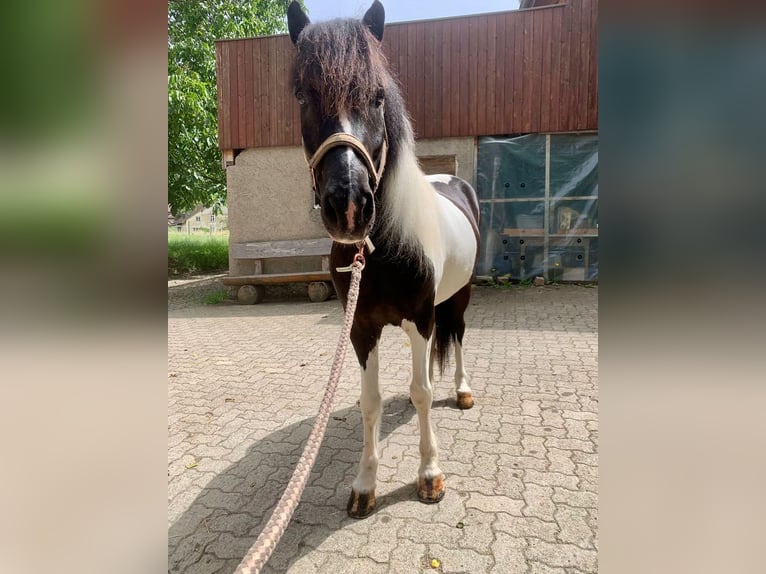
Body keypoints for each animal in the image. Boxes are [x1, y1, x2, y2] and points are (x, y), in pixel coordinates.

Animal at [287, 0, 480, 518]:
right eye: (302, 96)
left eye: (376, 97)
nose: (349, 206)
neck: (381, 250)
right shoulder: (360, 327)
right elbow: (370, 401)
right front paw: (365, 484)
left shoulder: (419, 318)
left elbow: (423, 392)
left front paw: (430, 475)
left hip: (460, 297)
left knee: (457, 339)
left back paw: (462, 390)